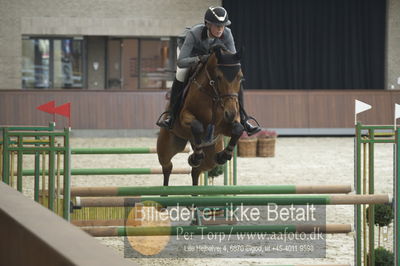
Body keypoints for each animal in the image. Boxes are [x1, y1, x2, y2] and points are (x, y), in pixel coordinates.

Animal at [156, 44, 244, 187]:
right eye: (218, 77)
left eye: (240, 77)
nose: (230, 113)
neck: (213, 96)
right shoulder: (184, 117)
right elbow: (197, 126)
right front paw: (196, 156)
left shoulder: (225, 126)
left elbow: (238, 129)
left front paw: (224, 155)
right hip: (167, 145)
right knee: (167, 165)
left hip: (210, 154)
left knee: (197, 170)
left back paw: (195, 163)